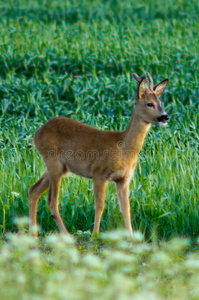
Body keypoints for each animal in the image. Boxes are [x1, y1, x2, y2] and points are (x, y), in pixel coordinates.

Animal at [29, 72, 169, 237]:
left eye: (160, 102)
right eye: (149, 104)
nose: (165, 116)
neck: (123, 149)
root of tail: (36, 134)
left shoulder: (123, 179)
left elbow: (126, 208)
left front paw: (131, 236)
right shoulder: (99, 173)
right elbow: (100, 205)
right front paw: (95, 235)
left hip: (59, 168)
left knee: (33, 190)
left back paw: (33, 234)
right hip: (53, 163)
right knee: (52, 200)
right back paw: (65, 234)